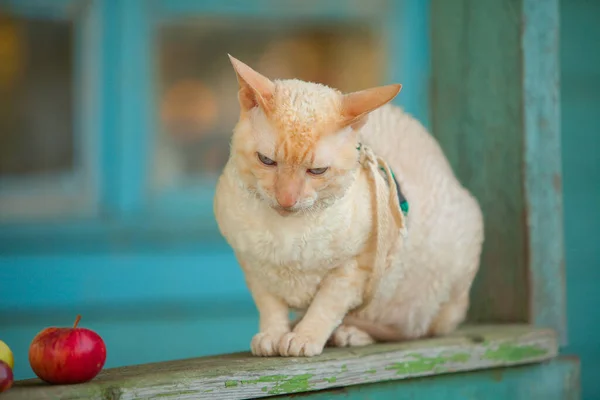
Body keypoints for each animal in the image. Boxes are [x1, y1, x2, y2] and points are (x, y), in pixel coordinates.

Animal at [213, 54, 486, 358]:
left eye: (317, 171)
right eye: (266, 160)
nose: (287, 199)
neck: (287, 233)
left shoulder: (352, 270)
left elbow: (325, 307)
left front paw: (305, 337)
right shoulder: (253, 266)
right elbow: (270, 306)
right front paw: (272, 335)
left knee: (414, 330)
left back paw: (349, 333)